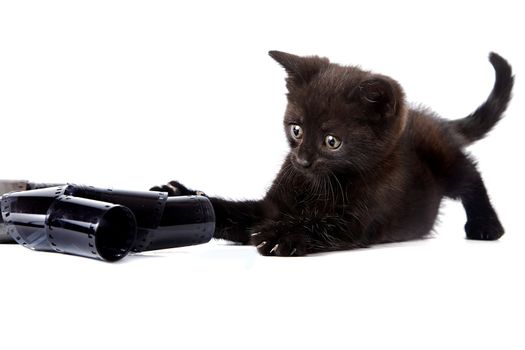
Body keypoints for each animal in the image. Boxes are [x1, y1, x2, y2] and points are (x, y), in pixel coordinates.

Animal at [151, 50, 512, 256]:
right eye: (296, 130)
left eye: (331, 141)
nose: (302, 161)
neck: (318, 184)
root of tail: (430, 118)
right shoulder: (269, 207)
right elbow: (226, 211)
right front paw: (181, 195)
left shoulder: (356, 222)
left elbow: (321, 225)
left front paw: (282, 235)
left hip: (444, 158)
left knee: (470, 175)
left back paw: (486, 225)